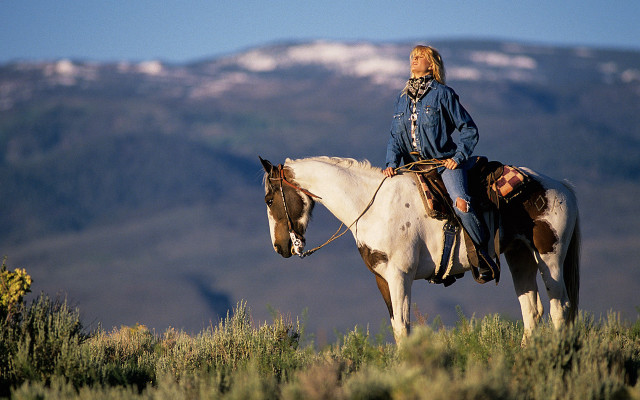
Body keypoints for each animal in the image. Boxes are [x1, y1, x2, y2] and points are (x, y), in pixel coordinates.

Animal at [260, 156, 580, 343]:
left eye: (268, 199)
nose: (279, 247)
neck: (373, 206)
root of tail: (562, 186)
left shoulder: (400, 275)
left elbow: (404, 326)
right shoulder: (382, 279)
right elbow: (397, 327)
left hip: (550, 258)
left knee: (559, 309)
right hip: (520, 256)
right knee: (532, 311)